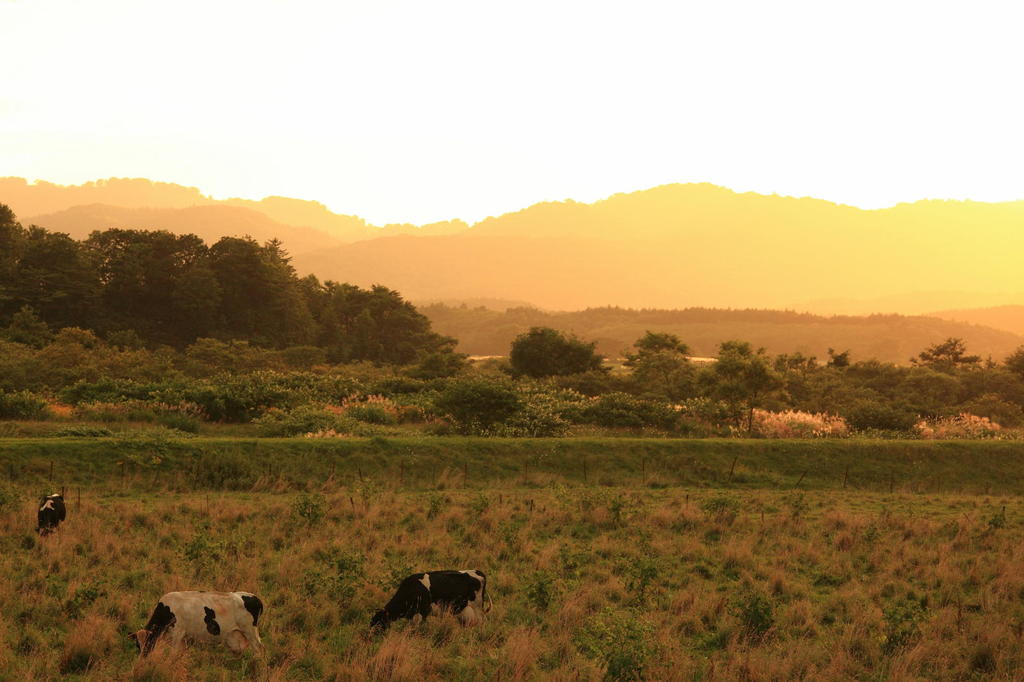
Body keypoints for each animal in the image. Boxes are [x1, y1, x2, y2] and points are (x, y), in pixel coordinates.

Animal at [130, 589, 264, 655]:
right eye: (138, 645)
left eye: (149, 642)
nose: (143, 657)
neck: (167, 609)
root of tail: (254, 597)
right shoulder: (183, 638)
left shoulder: (177, 634)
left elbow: (173, 653)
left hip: (250, 632)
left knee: (259, 650)